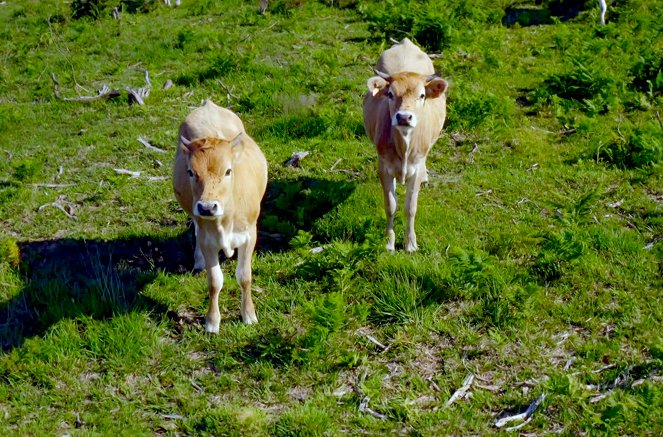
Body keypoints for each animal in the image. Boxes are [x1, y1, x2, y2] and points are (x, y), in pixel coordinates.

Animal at [172, 100, 268, 332]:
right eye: (190, 172)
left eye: (228, 171)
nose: (207, 207)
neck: (225, 221)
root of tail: (209, 105)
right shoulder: (208, 240)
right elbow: (214, 282)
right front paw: (212, 322)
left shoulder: (249, 235)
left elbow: (245, 277)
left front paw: (249, 314)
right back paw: (198, 261)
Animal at [364, 39, 452, 254]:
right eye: (389, 94)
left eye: (422, 95)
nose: (404, 117)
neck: (404, 145)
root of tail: (405, 42)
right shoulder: (383, 166)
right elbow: (391, 205)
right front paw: (389, 242)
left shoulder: (417, 167)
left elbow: (410, 207)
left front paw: (410, 244)